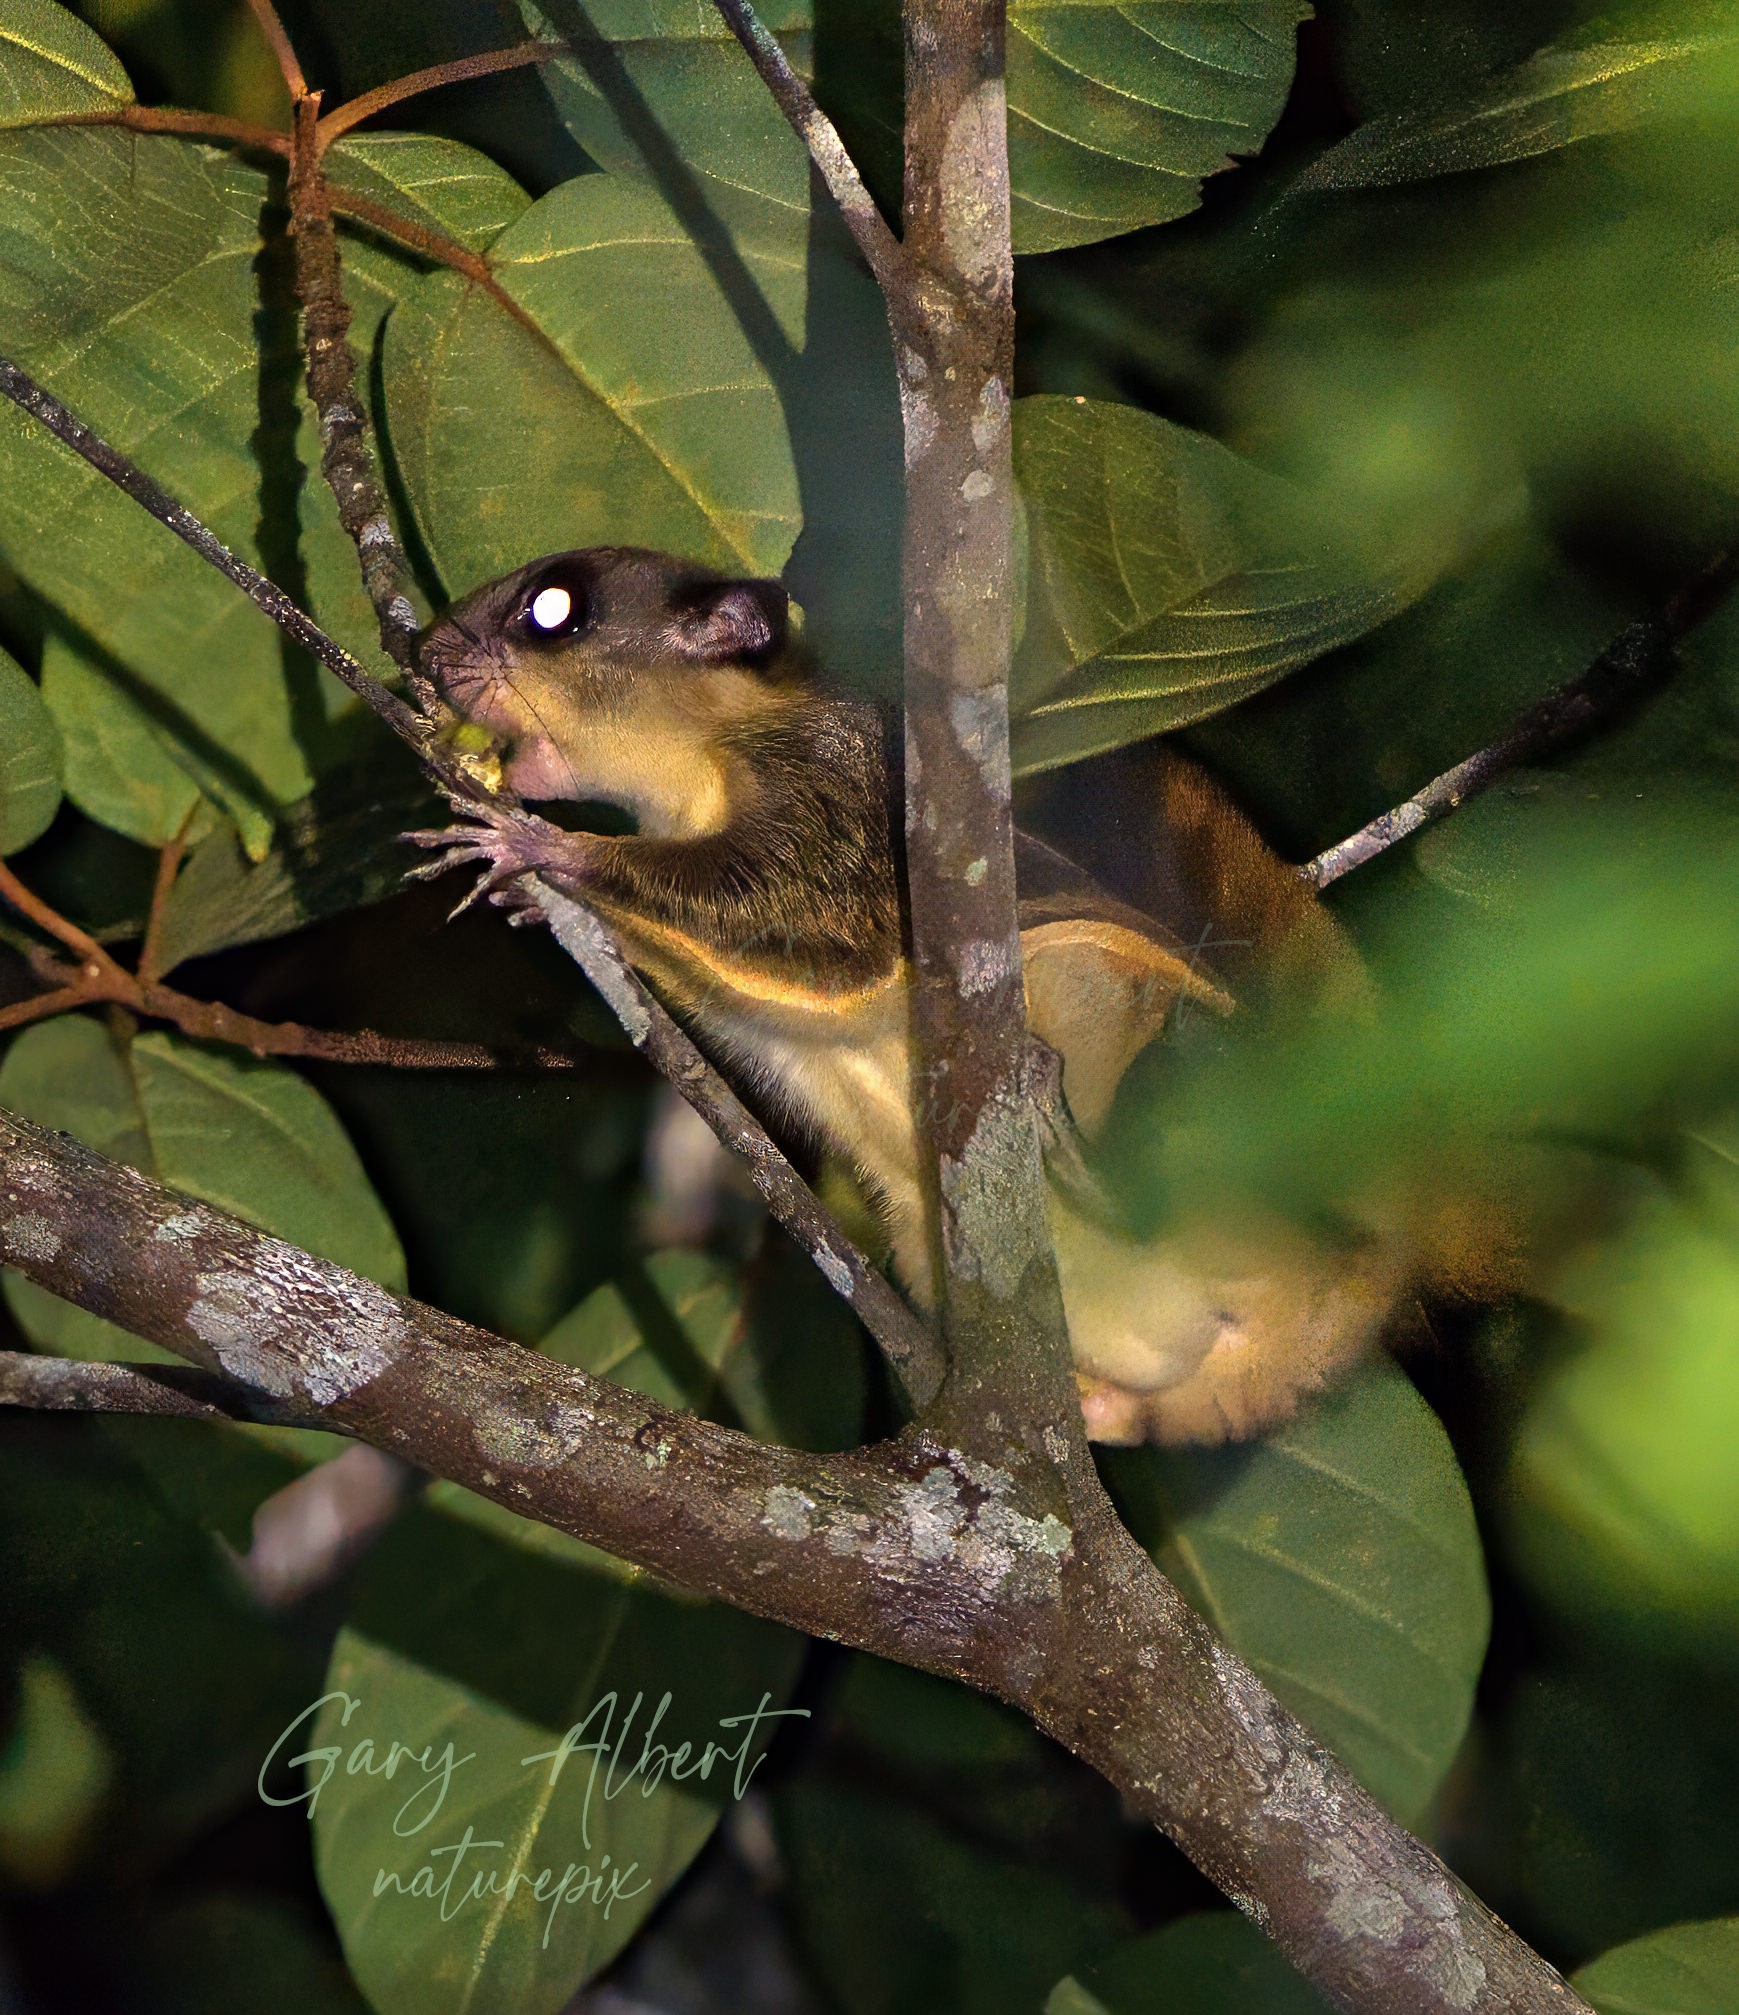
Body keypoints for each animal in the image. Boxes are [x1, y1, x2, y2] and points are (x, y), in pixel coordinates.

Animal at [409, 546, 1426, 1445]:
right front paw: (524, 894)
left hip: (1201, 1092)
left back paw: (1061, 1129)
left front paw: (544, 848)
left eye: (553, 610)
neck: (700, 769)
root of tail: (1345, 1307)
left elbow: (812, 929)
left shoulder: (835, 796)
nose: (420, 652)